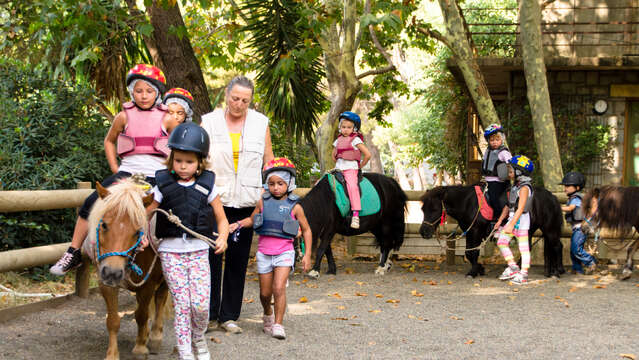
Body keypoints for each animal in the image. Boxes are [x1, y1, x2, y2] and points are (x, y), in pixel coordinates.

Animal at [86, 180, 169, 360]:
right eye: (104, 225)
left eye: (138, 232)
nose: (113, 272)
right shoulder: (105, 283)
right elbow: (112, 320)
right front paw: (112, 355)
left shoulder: (147, 286)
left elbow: (142, 315)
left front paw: (140, 348)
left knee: (160, 299)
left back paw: (154, 338)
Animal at [420, 186, 564, 278]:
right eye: (422, 209)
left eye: (434, 209)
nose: (423, 232)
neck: (467, 203)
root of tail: (552, 197)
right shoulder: (470, 231)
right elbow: (469, 252)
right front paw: (479, 269)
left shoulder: (476, 231)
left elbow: (472, 252)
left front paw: (473, 272)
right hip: (530, 229)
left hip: (549, 228)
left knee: (556, 246)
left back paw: (556, 272)